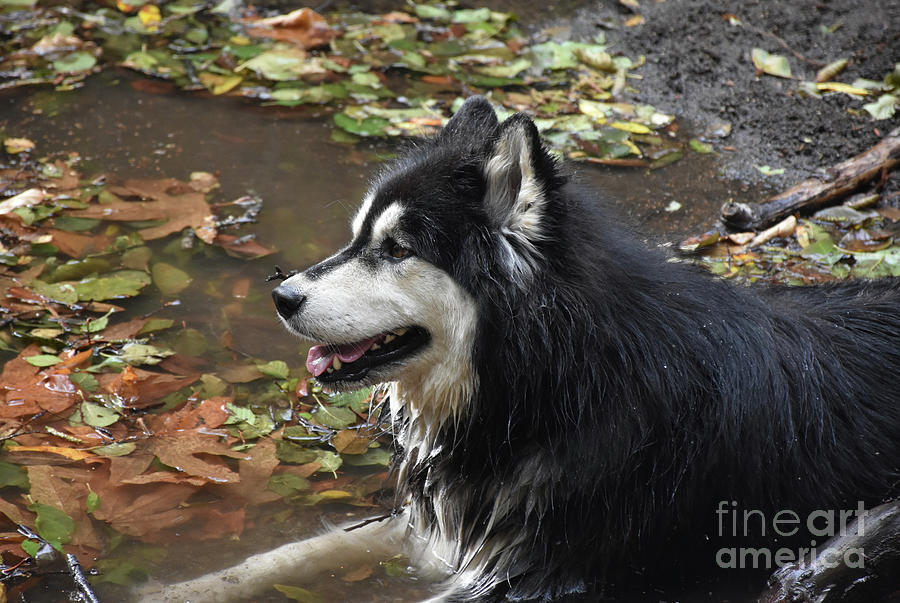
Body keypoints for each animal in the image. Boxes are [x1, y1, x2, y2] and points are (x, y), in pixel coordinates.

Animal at [148, 96, 900, 600]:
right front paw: (176, 587)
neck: (546, 385)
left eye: (397, 249)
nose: (281, 296)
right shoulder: (443, 533)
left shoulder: (535, 574)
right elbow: (281, 555)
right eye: (359, 237)